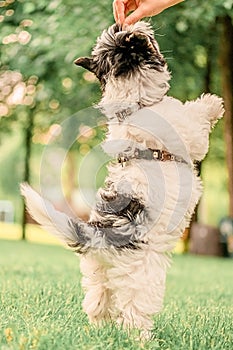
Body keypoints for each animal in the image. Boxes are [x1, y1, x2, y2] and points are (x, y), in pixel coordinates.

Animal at [21, 21, 224, 336]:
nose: (134, 22)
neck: (135, 103)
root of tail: (97, 236)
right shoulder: (188, 133)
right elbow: (196, 118)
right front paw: (213, 103)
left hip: (96, 272)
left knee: (97, 300)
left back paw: (99, 329)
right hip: (140, 276)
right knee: (132, 310)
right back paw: (140, 337)